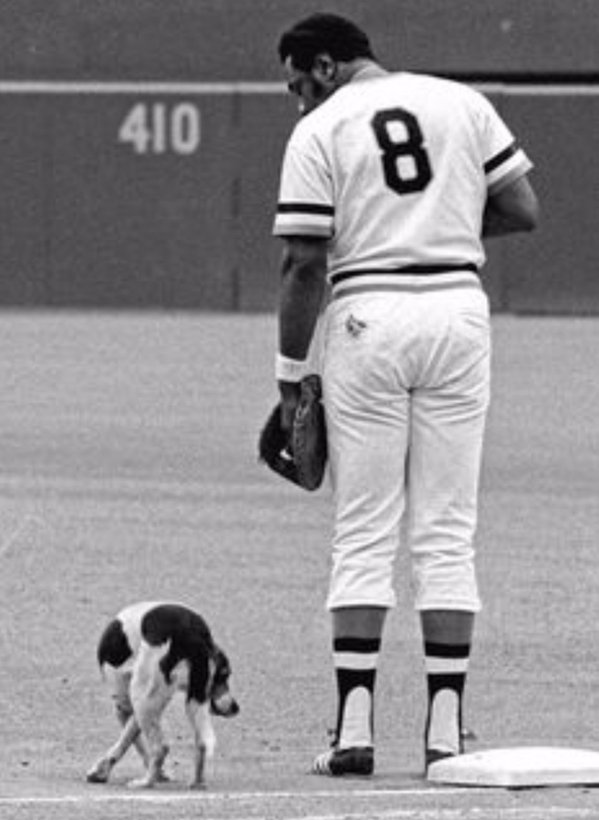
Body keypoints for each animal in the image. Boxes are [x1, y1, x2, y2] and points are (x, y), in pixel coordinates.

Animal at [86, 604, 239, 788]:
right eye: (223, 675)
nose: (235, 708)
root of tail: (193, 630)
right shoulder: (143, 707)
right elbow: (130, 739)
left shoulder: (125, 706)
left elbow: (132, 742)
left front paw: (101, 771)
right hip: (185, 704)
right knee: (201, 743)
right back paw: (197, 783)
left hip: (140, 696)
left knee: (161, 747)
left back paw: (145, 782)